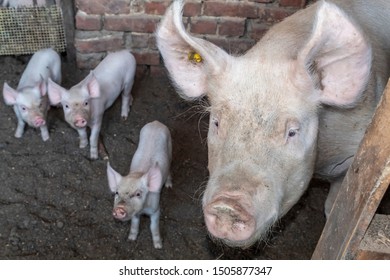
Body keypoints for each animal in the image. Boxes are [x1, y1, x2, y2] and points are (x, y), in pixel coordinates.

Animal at [106, 121, 171, 249]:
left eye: (138, 194)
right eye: (117, 192)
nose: (119, 208)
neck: (143, 210)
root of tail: (156, 122)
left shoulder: (156, 209)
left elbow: (154, 227)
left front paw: (158, 246)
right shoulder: (135, 213)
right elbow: (135, 224)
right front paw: (131, 240)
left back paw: (169, 186)